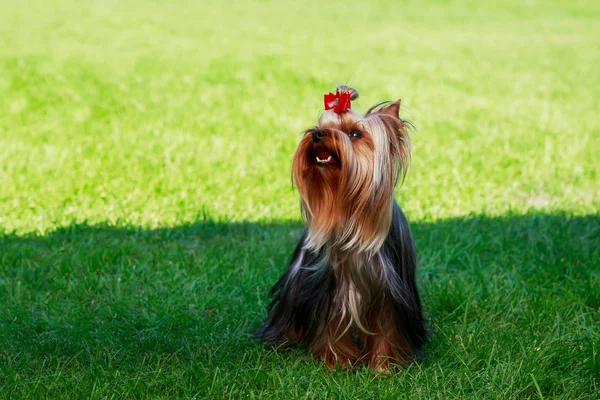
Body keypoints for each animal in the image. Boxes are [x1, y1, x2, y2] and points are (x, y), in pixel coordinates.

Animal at [255, 86, 424, 370]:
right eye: (322, 126)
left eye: (355, 134)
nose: (317, 134)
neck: (350, 215)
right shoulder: (328, 286)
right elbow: (330, 325)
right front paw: (337, 363)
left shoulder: (390, 290)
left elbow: (386, 327)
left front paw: (383, 366)